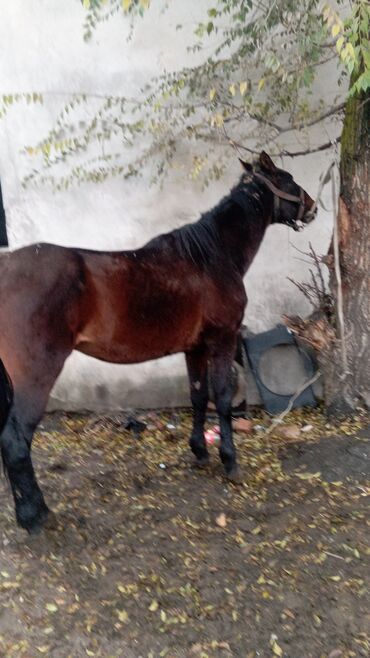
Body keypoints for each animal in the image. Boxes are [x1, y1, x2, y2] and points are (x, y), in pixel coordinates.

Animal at [0, 151, 316, 532]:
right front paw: (229, 461)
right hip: (37, 375)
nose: (312, 206)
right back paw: (35, 515)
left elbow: (198, 397)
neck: (211, 257)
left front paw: (199, 452)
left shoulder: (195, 348)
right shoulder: (223, 340)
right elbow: (223, 398)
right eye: (288, 180)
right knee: (16, 440)